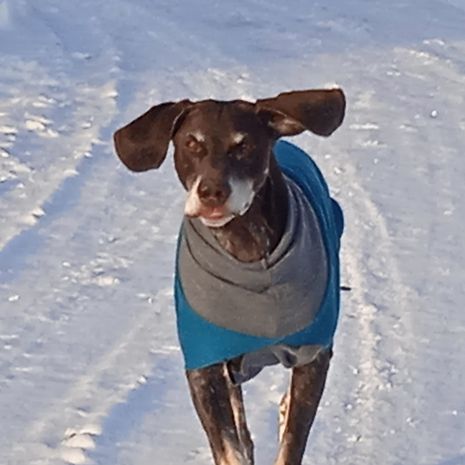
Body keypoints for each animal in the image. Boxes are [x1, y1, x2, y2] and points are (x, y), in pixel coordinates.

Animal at [113, 88, 345, 465]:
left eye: (244, 145)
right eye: (191, 144)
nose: (211, 192)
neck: (247, 249)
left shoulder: (313, 356)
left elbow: (291, 443)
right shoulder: (205, 367)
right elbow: (230, 447)